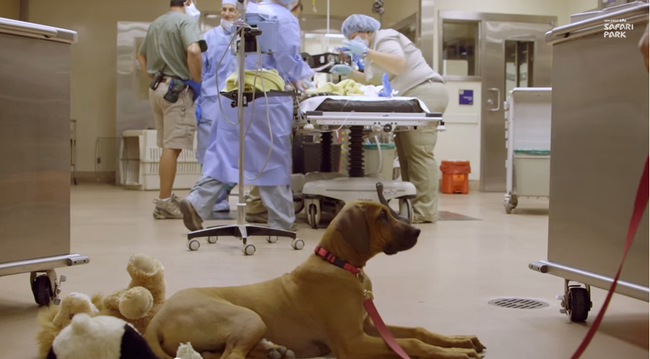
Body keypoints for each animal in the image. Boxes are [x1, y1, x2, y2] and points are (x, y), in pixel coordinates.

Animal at [146, 202, 480, 359]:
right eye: (383, 216)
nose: (418, 231)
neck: (339, 263)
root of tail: (156, 319)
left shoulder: (368, 327)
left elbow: (417, 330)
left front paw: (461, 340)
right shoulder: (352, 342)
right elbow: (411, 342)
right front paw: (458, 353)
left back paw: (274, 351)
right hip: (248, 317)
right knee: (231, 356)